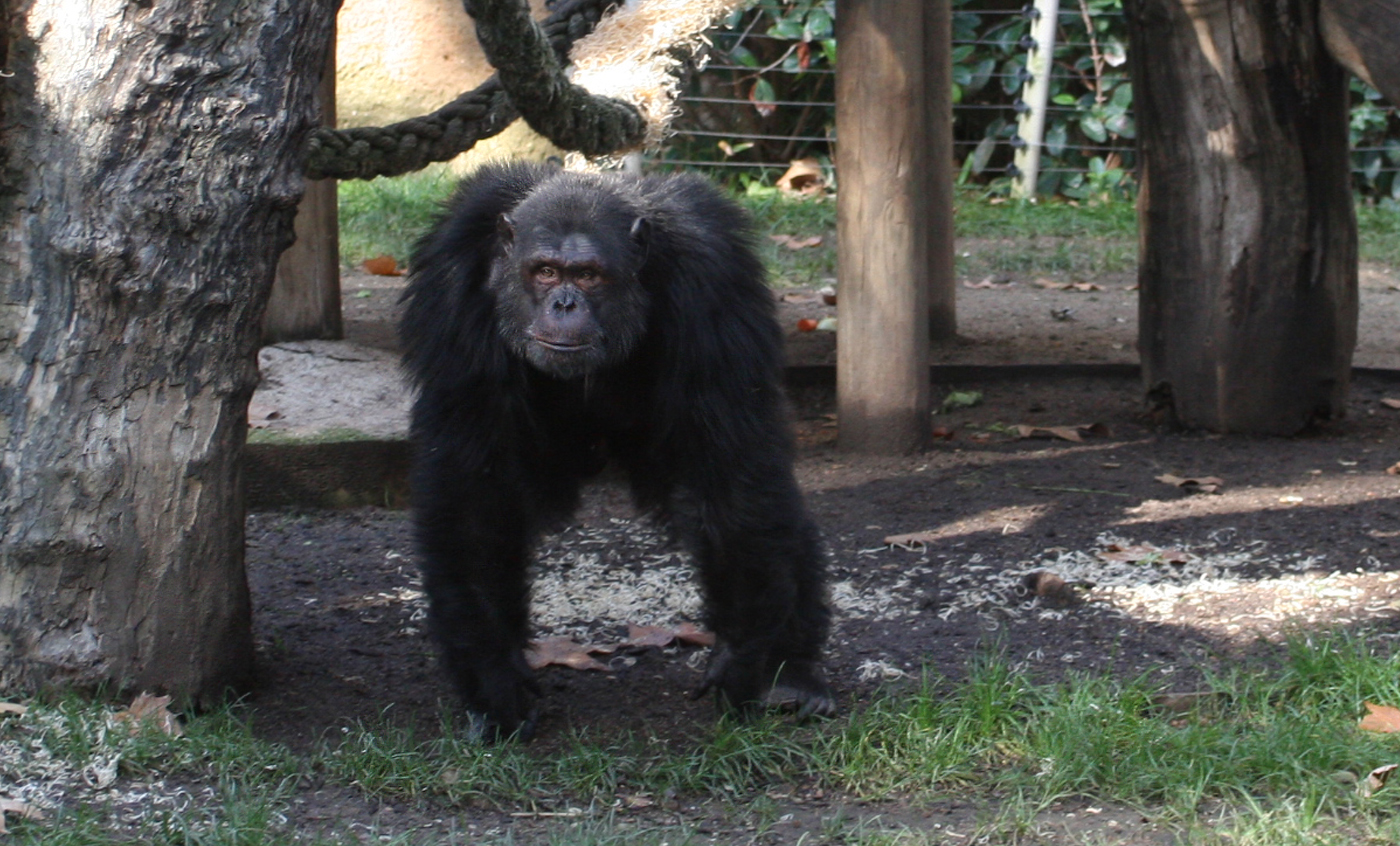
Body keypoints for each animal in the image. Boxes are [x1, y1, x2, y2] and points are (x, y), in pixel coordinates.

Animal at [397, 160, 828, 739]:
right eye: (545, 271)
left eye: (588, 275)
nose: (564, 303)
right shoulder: (453, 294)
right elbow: (473, 487)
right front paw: (494, 676)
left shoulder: (713, 281)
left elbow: (732, 468)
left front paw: (739, 658)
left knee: (764, 501)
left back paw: (793, 675)